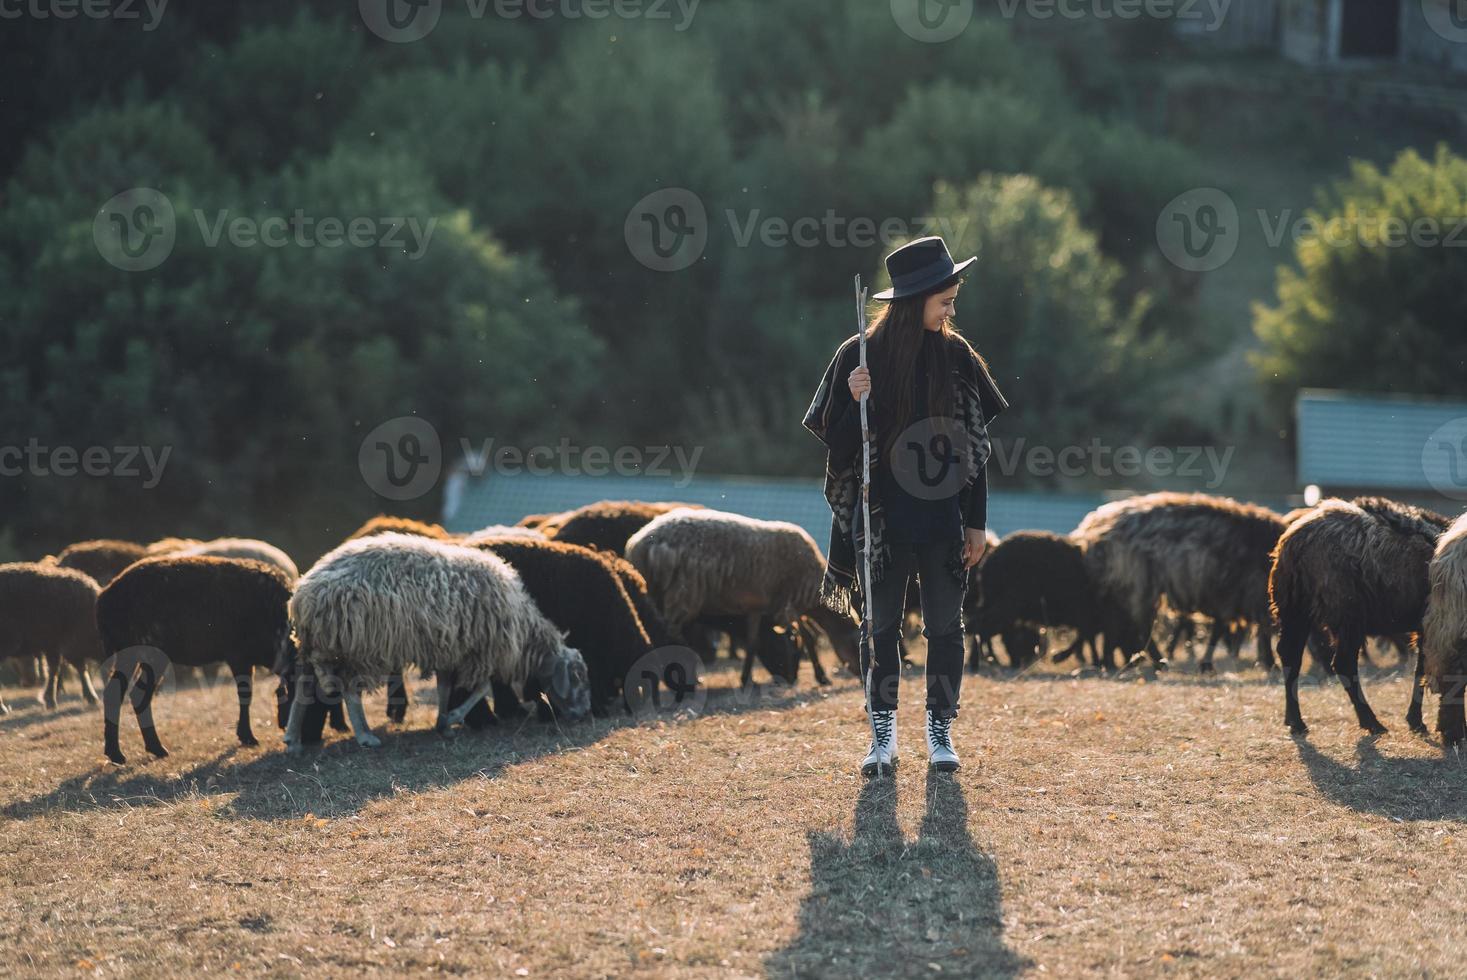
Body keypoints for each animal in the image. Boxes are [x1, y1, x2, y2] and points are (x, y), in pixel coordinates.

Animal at [0, 563, 101, 715]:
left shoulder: (52, 644)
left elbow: (54, 669)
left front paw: (50, 701)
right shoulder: (66, 644)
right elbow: (77, 667)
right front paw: (92, 698)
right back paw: (3, 709)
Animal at [281, 536, 589, 751]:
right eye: (577, 678)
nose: (583, 714)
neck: (523, 630)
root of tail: (303, 595)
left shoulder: (450, 649)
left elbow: (444, 687)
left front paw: (443, 723)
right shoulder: (481, 651)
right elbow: (481, 688)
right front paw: (452, 717)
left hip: (320, 645)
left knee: (304, 687)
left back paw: (293, 740)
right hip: (363, 647)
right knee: (349, 689)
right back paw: (365, 735)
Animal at [627, 504, 856, 680]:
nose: (859, 677)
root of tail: (639, 544)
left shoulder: (758, 606)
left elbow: (752, 642)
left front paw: (746, 680)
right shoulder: (787, 602)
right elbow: (808, 636)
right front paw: (822, 677)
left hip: (654, 592)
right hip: (681, 594)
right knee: (671, 632)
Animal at [1267, 498, 1449, 733]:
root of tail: (1296, 541)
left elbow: (1422, 668)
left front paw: (1416, 720)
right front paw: (1420, 721)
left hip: (1294, 609)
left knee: (1290, 655)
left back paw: (1295, 720)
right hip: (1346, 614)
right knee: (1343, 664)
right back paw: (1371, 722)